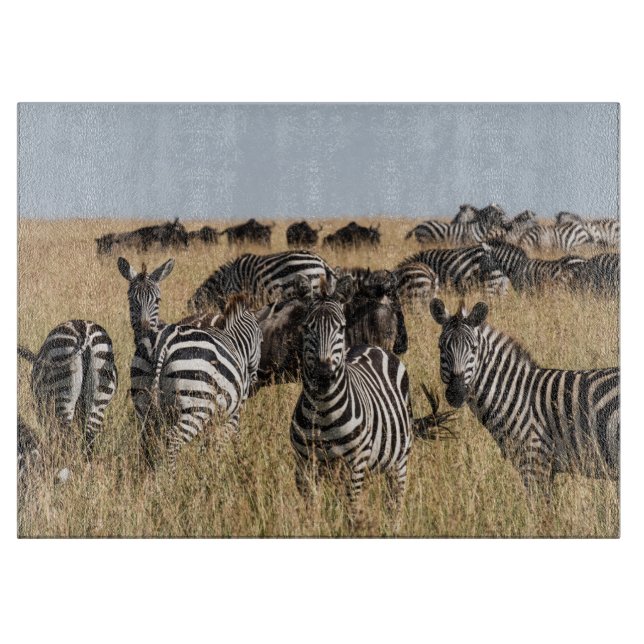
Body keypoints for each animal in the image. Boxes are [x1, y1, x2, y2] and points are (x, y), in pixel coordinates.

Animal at [18, 320, 118, 454]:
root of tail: (84, 332)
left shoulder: (43, 408)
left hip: (63, 391)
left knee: (66, 437)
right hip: (99, 395)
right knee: (89, 438)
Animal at [118, 257, 262, 472]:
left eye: (157, 300)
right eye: (261, 340)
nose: (254, 379)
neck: (233, 339)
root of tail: (162, 342)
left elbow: (208, 445)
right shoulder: (233, 413)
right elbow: (222, 443)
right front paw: (217, 468)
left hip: (143, 401)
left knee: (146, 441)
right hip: (195, 403)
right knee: (173, 440)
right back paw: (171, 477)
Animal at [429, 298, 619, 498]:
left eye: (474, 349)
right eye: (441, 348)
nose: (456, 393)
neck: (515, 394)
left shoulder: (534, 460)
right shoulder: (545, 467)